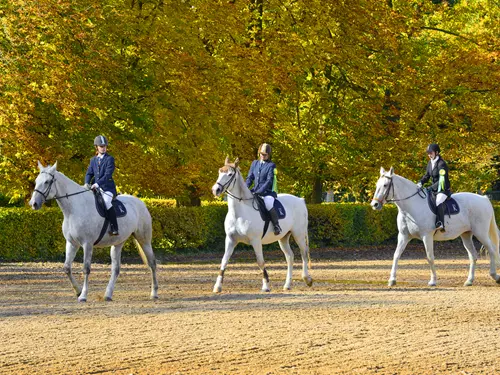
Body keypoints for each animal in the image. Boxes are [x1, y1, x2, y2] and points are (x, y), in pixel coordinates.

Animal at [29, 162, 158, 302]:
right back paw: (108, 295)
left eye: (47, 182)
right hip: (118, 243)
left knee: (152, 263)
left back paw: (154, 293)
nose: (33, 204)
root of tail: (140, 203)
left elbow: (86, 269)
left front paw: (83, 296)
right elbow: (67, 268)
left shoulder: (87, 244)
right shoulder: (71, 243)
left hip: (144, 240)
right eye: (36, 181)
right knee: (116, 269)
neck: (73, 209)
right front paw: (78, 291)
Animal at [211, 157, 312, 292]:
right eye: (219, 172)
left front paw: (266, 286)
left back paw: (307, 279)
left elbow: (260, 261)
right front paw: (217, 286)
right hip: (283, 237)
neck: (239, 212)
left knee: (304, 253)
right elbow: (224, 261)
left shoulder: (255, 240)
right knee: (290, 256)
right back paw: (287, 285)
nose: (215, 190)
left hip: (298, 234)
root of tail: (300, 200)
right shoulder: (231, 239)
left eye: (230, 174)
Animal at [370, 167, 498, 288]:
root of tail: (484, 198)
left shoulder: (426, 236)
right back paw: (469, 281)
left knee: (491, 250)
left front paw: (433, 281)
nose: (374, 205)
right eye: (377, 185)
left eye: (385, 185)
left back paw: (495, 276)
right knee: (473, 256)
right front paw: (392, 280)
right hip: (466, 235)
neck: (411, 206)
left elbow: (429, 257)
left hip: (480, 233)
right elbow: (396, 255)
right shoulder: (403, 236)